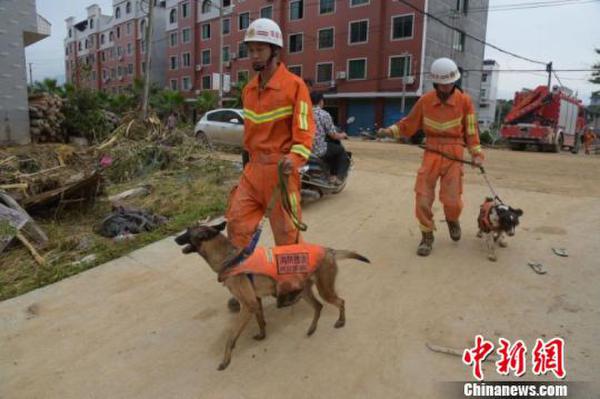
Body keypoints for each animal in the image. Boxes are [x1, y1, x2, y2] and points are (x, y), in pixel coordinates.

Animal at [175, 219, 370, 372]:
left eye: (187, 231)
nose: (175, 238)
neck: (230, 258)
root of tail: (329, 250)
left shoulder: (248, 305)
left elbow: (231, 336)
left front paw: (225, 360)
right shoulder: (256, 302)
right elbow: (261, 320)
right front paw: (262, 335)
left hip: (325, 290)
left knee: (340, 301)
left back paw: (340, 321)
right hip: (305, 290)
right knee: (318, 306)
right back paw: (312, 328)